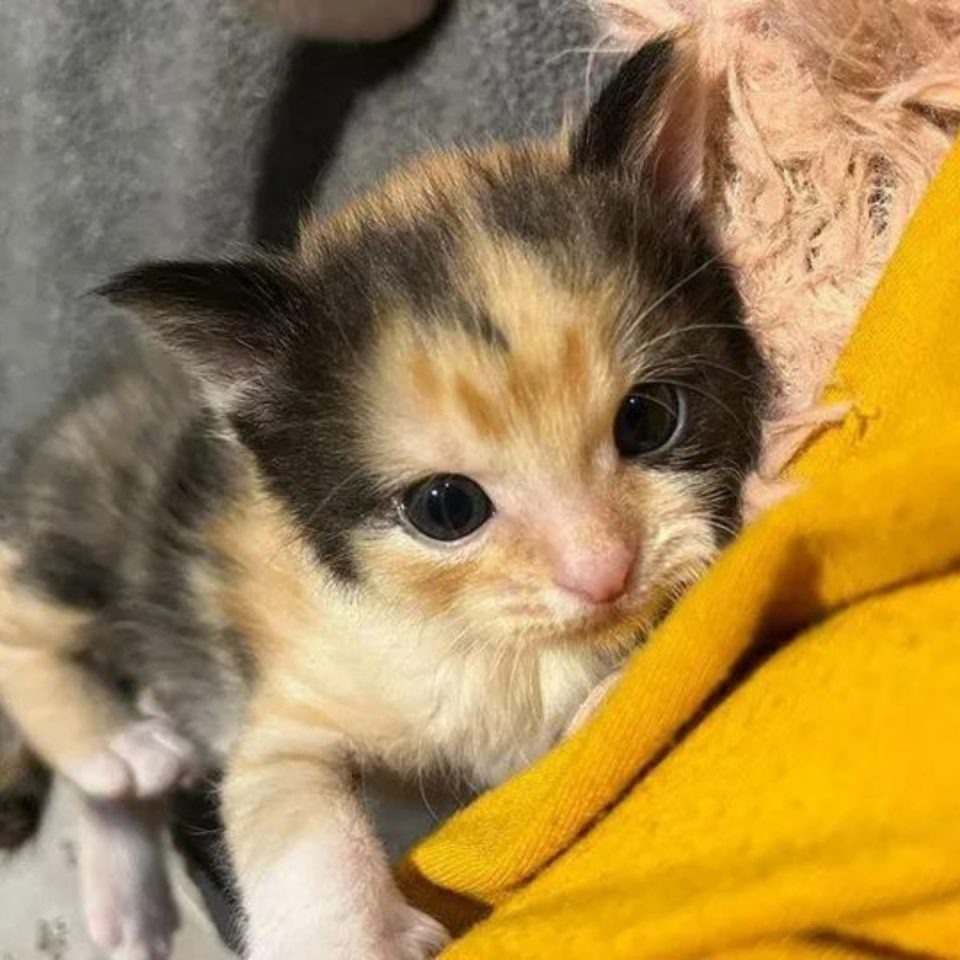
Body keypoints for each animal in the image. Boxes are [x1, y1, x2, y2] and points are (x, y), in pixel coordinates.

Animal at [0, 39, 764, 960]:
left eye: (649, 419)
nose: (604, 572)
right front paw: (348, 934)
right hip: (84, 521)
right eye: (446, 509)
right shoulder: (289, 716)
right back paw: (115, 750)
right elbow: (293, 809)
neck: (487, 646)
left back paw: (128, 895)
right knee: (19, 620)